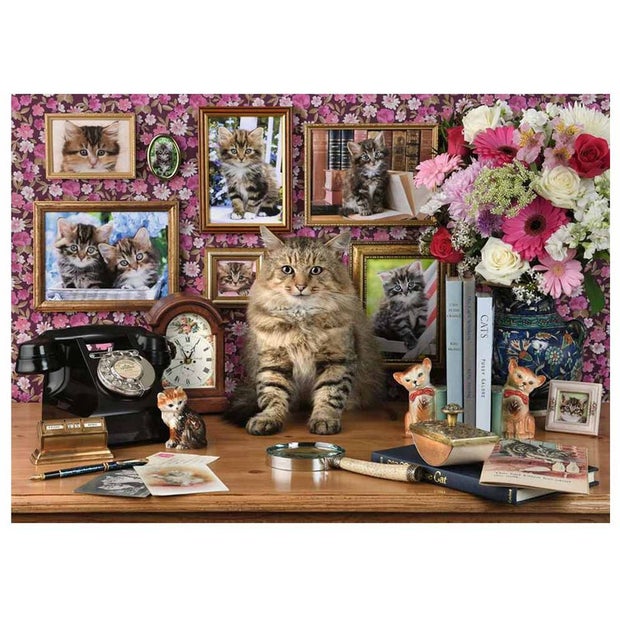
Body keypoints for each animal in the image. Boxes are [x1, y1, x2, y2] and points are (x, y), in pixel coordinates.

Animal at [225, 226, 384, 435]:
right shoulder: (273, 361)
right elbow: (273, 394)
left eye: (315, 270)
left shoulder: (337, 360)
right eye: (287, 269)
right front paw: (268, 419)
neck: (301, 319)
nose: (301, 286)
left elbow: (329, 395)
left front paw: (324, 420)